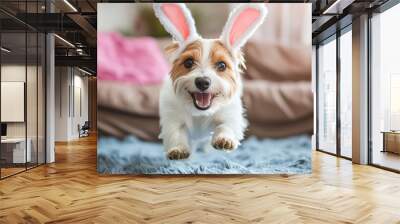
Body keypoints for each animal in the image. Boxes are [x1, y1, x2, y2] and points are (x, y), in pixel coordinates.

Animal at [155, 2, 268, 158]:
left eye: (222, 65)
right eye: (188, 62)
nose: (202, 82)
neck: (200, 113)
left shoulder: (229, 114)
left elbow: (225, 126)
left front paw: (224, 139)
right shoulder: (174, 119)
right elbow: (177, 134)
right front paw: (178, 149)